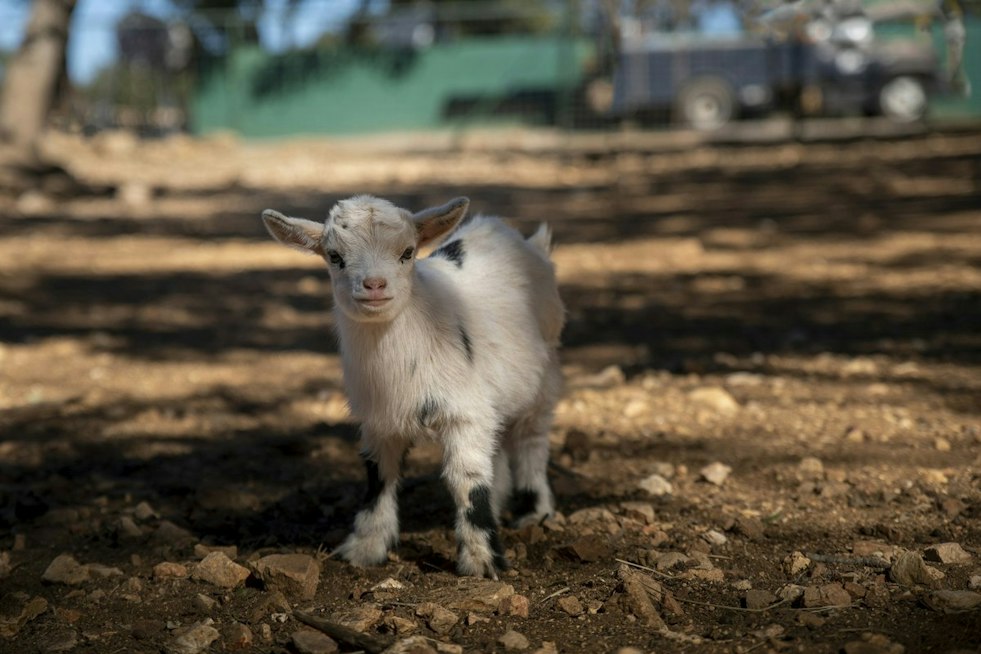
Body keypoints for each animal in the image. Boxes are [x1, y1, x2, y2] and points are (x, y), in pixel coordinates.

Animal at [261, 195, 564, 578]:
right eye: (334, 256)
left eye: (407, 252)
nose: (374, 285)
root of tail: (520, 239)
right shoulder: (378, 421)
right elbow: (379, 477)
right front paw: (365, 547)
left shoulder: (464, 413)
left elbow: (466, 480)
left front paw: (481, 561)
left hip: (546, 374)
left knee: (531, 439)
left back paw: (535, 512)